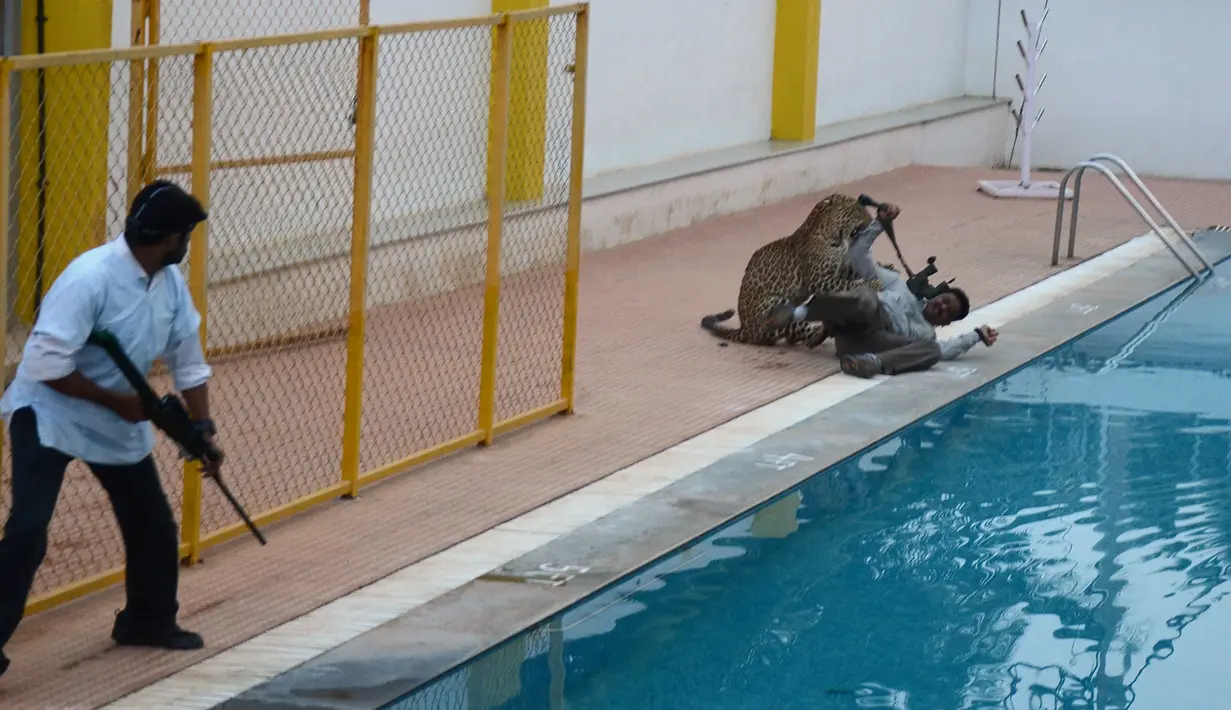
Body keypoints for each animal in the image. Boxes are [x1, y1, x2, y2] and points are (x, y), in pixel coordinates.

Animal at [704, 190, 896, 349]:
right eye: (856, 211)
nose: (872, 221)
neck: (837, 238)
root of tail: (744, 328)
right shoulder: (820, 280)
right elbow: (848, 283)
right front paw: (874, 283)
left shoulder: (840, 268)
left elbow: (852, 271)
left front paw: (884, 266)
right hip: (775, 307)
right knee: (803, 334)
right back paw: (823, 329)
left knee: (794, 336)